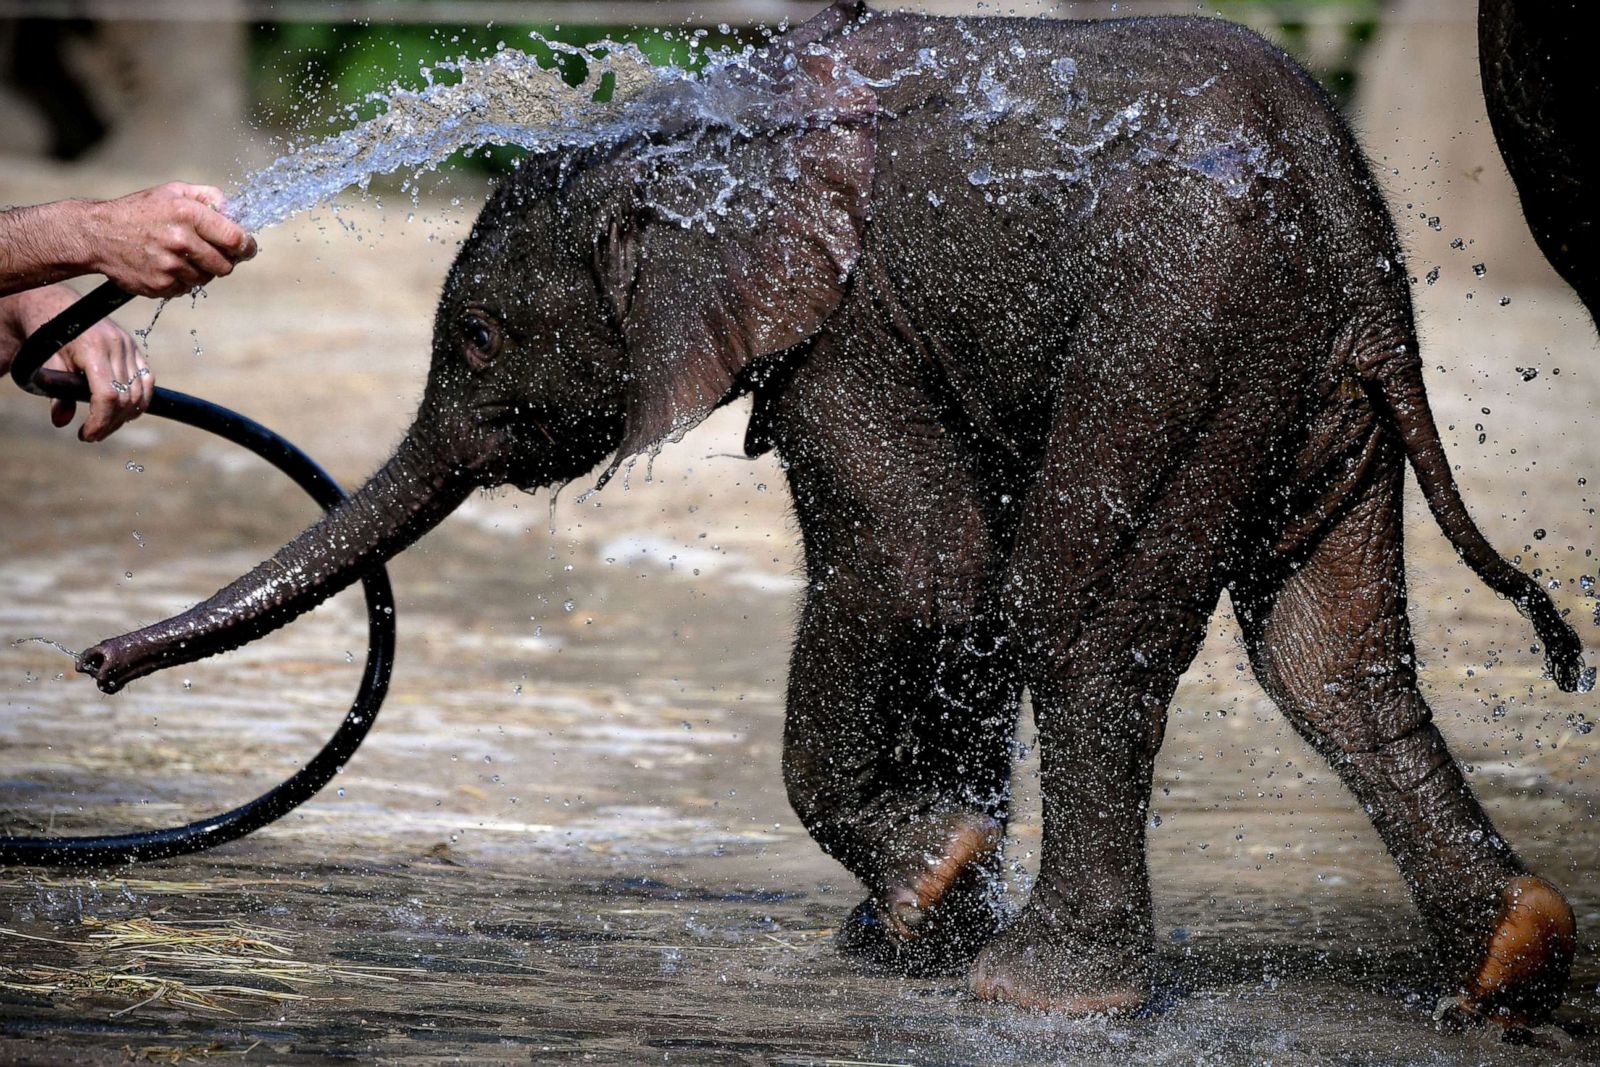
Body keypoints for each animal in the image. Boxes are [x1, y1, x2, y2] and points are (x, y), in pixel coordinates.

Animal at [87, 0, 1587, 1023]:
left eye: (476, 343)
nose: (94, 663)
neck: (687, 128)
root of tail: (1352, 226)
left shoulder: (848, 313)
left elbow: (922, 564)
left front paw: (932, 889)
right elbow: (952, 586)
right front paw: (912, 931)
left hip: (1188, 320)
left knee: (1081, 612)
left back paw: (1046, 996)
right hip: (1295, 371)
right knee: (1329, 647)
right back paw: (1510, 962)